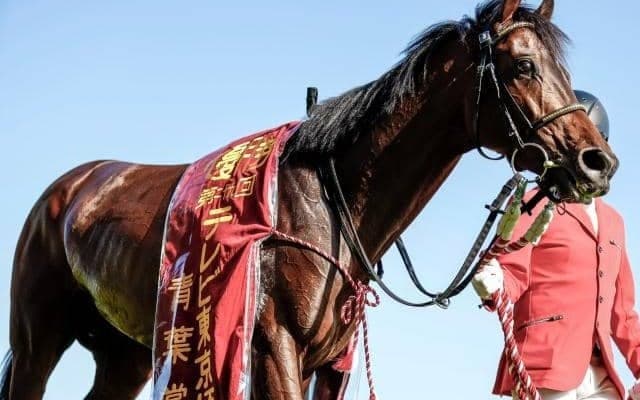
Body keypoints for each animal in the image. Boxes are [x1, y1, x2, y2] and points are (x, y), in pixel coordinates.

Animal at [1, 0, 619, 399]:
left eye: (562, 68)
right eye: (524, 65)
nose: (598, 161)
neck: (326, 204)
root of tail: (71, 189)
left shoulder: (331, 364)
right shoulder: (274, 348)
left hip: (128, 355)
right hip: (37, 342)